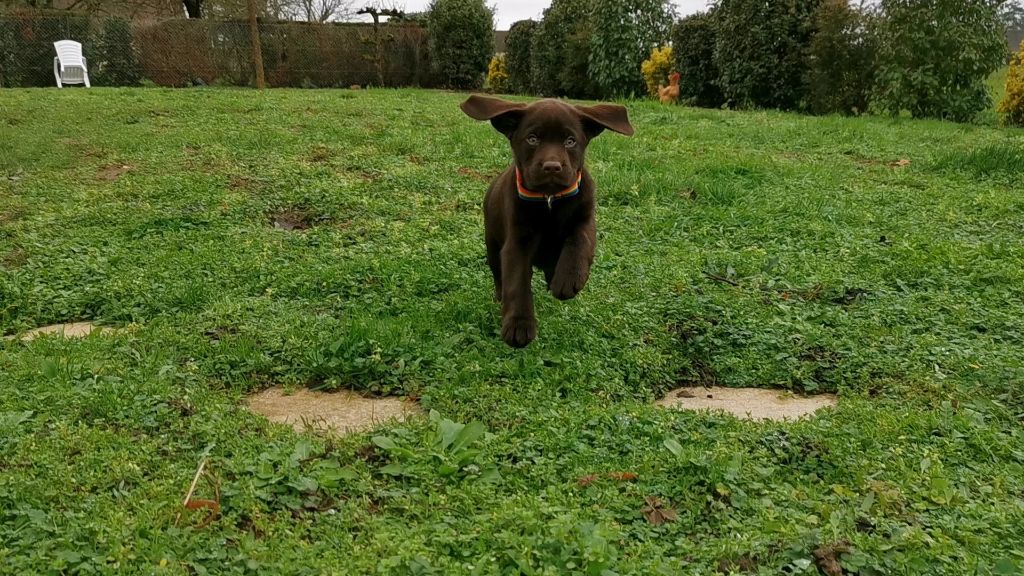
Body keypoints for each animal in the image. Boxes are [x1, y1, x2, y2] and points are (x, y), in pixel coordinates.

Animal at [462, 95, 630, 344]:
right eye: (532, 139)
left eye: (570, 141)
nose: (552, 167)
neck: (549, 199)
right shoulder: (516, 241)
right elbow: (516, 282)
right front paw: (519, 324)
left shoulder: (585, 219)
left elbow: (579, 241)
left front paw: (568, 279)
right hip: (492, 244)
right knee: (499, 276)